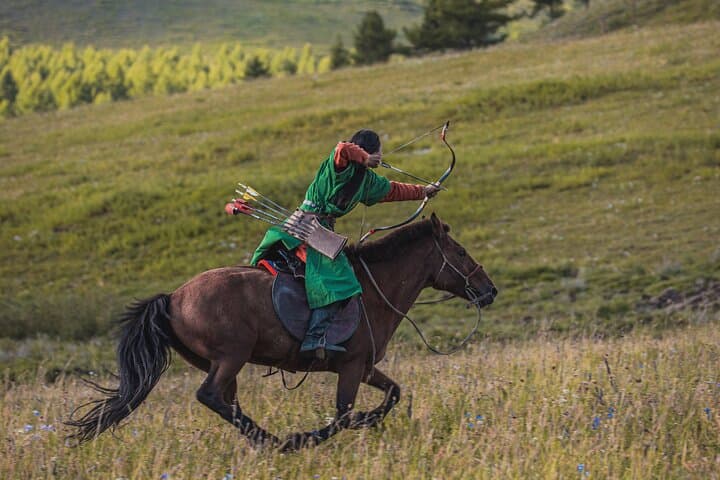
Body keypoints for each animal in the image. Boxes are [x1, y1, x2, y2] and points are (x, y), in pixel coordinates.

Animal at [66, 213, 497, 451]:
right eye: (460, 253)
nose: (489, 290)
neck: (374, 289)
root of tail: (173, 298)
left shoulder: (364, 367)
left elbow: (392, 393)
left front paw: (366, 421)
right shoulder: (351, 368)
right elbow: (342, 415)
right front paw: (305, 438)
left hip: (221, 364)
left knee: (227, 404)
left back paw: (262, 442)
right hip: (231, 356)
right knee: (210, 396)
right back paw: (275, 443)